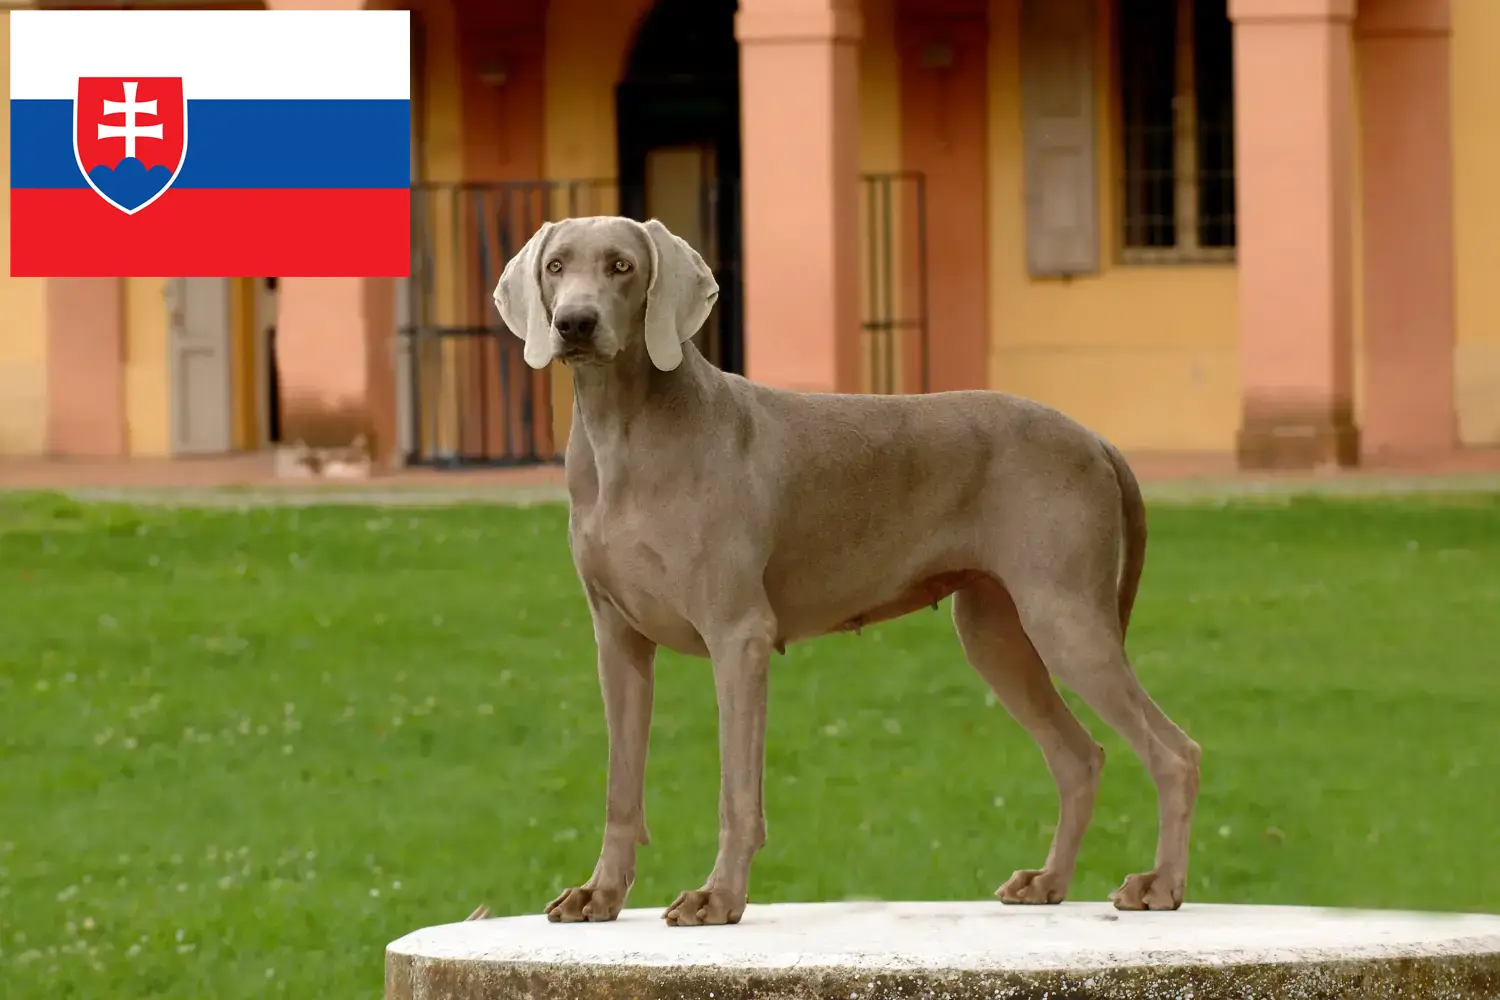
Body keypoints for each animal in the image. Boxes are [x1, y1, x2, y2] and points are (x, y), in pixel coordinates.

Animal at [486, 215, 1200, 929]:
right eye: (555, 266)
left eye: (622, 266)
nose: (575, 324)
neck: (625, 436)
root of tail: (1096, 439)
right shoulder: (618, 641)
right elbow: (621, 788)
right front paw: (600, 893)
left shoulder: (737, 635)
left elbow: (736, 792)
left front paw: (720, 897)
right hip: (995, 631)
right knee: (1079, 758)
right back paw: (1049, 880)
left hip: (1063, 614)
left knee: (1174, 752)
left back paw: (1161, 884)